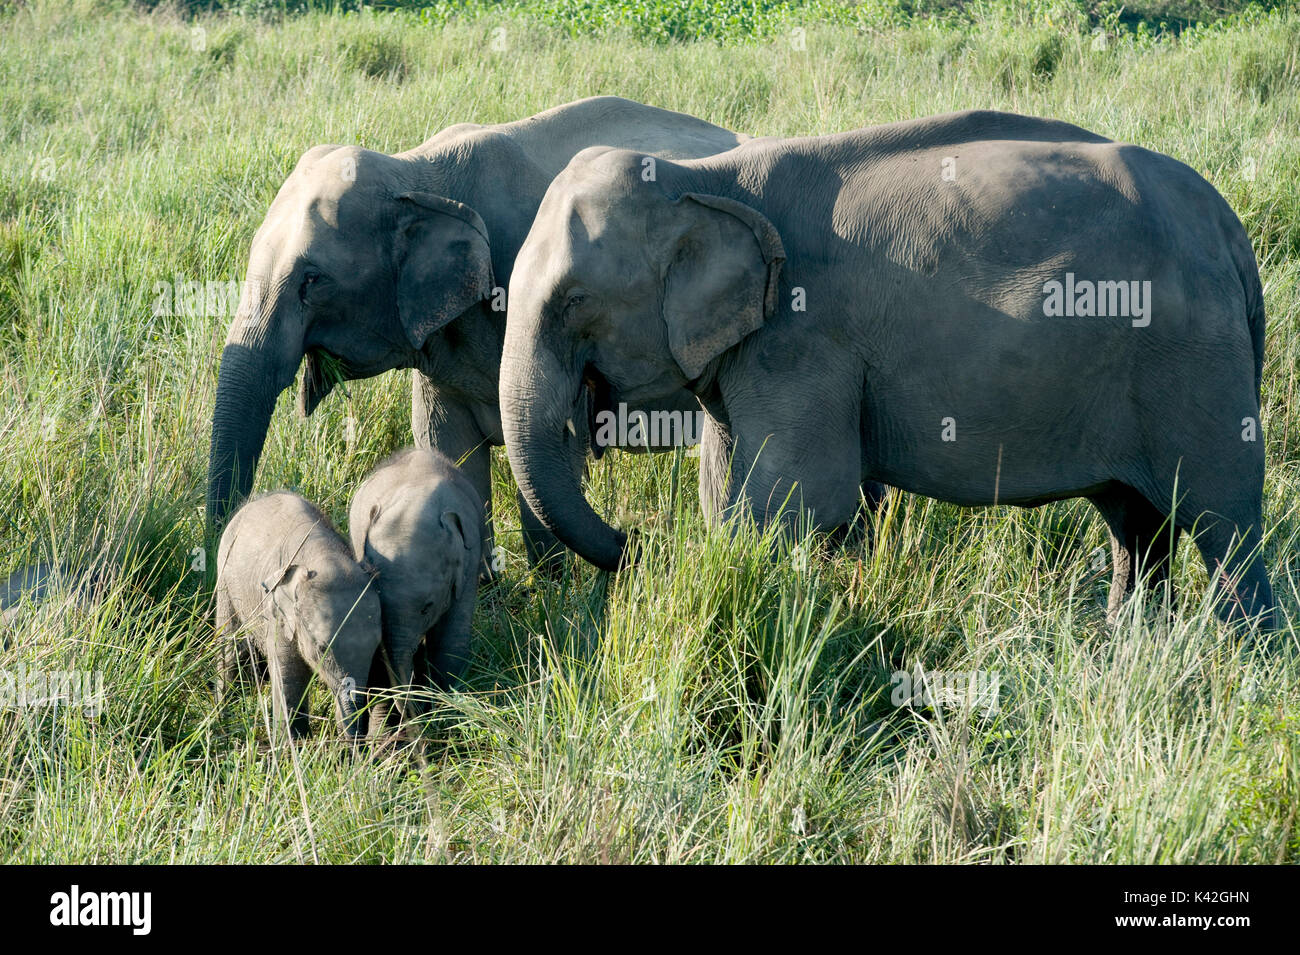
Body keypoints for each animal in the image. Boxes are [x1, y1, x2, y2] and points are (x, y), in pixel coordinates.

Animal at [205, 96, 747, 577]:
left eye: (312, 280)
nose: (638, 540)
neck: (414, 172)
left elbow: (555, 441)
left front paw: (552, 588)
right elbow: (445, 443)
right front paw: (483, 587)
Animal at [215, 491, 382, 738]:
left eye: (375, 649)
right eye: (322, 649)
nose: (357, 745)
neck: (324, 555)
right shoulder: (277, 612)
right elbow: (289, 675)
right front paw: (293, 745)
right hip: (226, 577)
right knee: (229, 646)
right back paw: (221, 720)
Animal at [499, 109, 1277, 630]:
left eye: (574, 300)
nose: (636, 541)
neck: (702, 179)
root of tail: (1229, 227)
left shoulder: (805, 337)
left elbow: (797, 496)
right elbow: (725, 489)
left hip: (1195, 364)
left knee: (1223, 522)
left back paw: (1242, 663)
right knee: (1135, 523)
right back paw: (1129, 650)